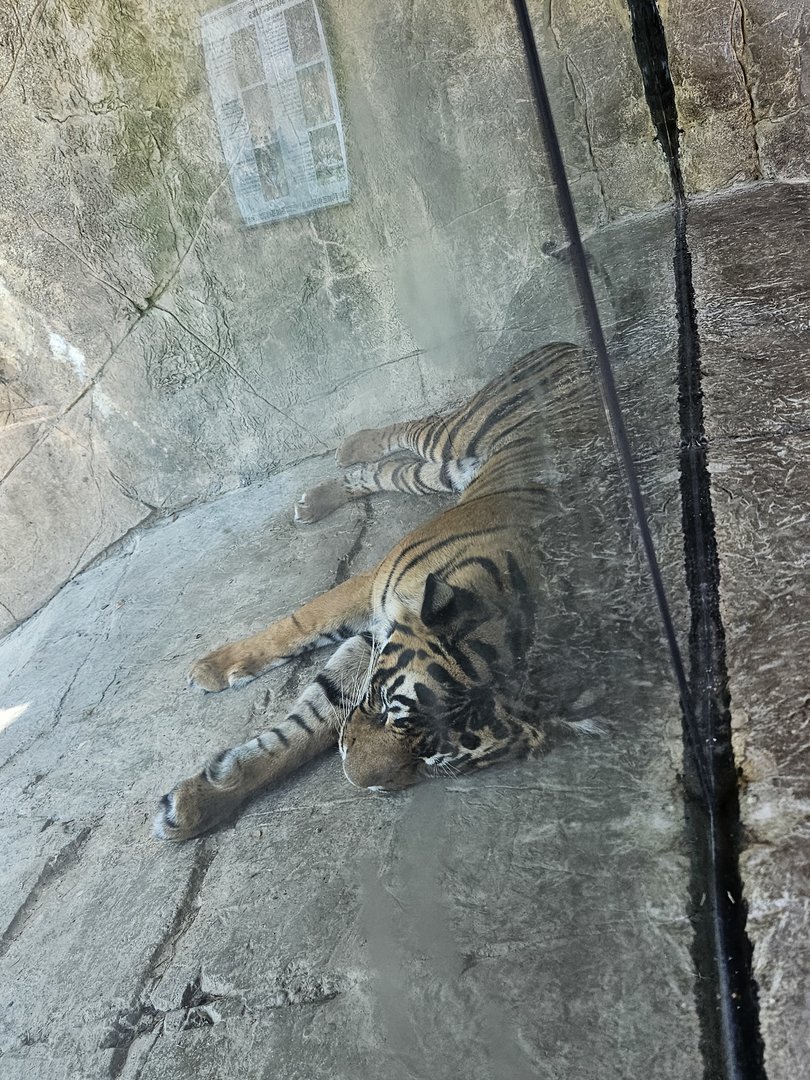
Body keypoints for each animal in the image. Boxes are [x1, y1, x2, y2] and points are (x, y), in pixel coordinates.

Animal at [153, 342, 596, 841]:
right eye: (385, 709)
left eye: (431, 762)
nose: (352, 777)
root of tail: (573, 344)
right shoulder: (372, 592)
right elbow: (301, 626)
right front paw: (212, 670)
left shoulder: (375, 641)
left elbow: (307, 724)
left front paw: (197, 802)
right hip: (455, 438)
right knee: (408, 434)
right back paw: (346, 451)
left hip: (443, 472)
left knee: (389, 471)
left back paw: (319, 496)